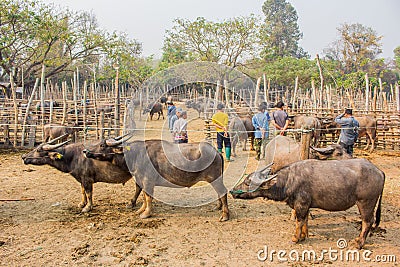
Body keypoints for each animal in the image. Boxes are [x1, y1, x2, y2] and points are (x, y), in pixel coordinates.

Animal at [83, 138, 230, 222]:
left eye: (102, 145)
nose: (85, 151)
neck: (135, 154)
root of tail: (216, 152)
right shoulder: (141, 181)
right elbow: (143, 195)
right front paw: (140, 210)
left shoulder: (148, 181)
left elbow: (148, 197)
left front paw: (146, 213)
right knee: (219, 193)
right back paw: (218, 207)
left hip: (215, 178)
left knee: (223, 192)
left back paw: (225, 215)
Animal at [231, 159, 384, 249]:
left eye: (248, 182)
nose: (232, 191)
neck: (289, 181)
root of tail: (379, 171)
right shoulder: (305, 206)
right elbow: (305, 221)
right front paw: (304, 236)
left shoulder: (301, 204)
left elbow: (299, 221)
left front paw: (295, 238)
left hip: (366, 202)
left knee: (367, 222)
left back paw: (359, 243)